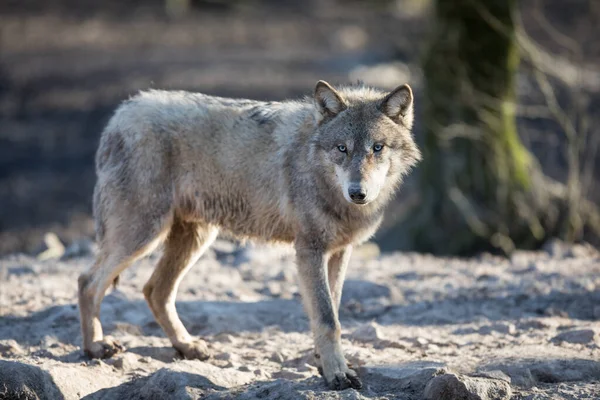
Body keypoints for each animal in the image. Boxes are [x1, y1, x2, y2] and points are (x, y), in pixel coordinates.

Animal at [77, 80, 420, 390]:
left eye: (377, 148)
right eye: (342, 149)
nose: (357, 193)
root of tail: (123, 111)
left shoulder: (339, 251)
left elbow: (331, 310)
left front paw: (325, 366)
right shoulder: (309, 250)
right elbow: (327, 319)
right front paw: (337, 374)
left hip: (195, 239)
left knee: (155, 290)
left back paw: (187, 346)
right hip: (143, 235)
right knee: (88, 281)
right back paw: (95, 347)